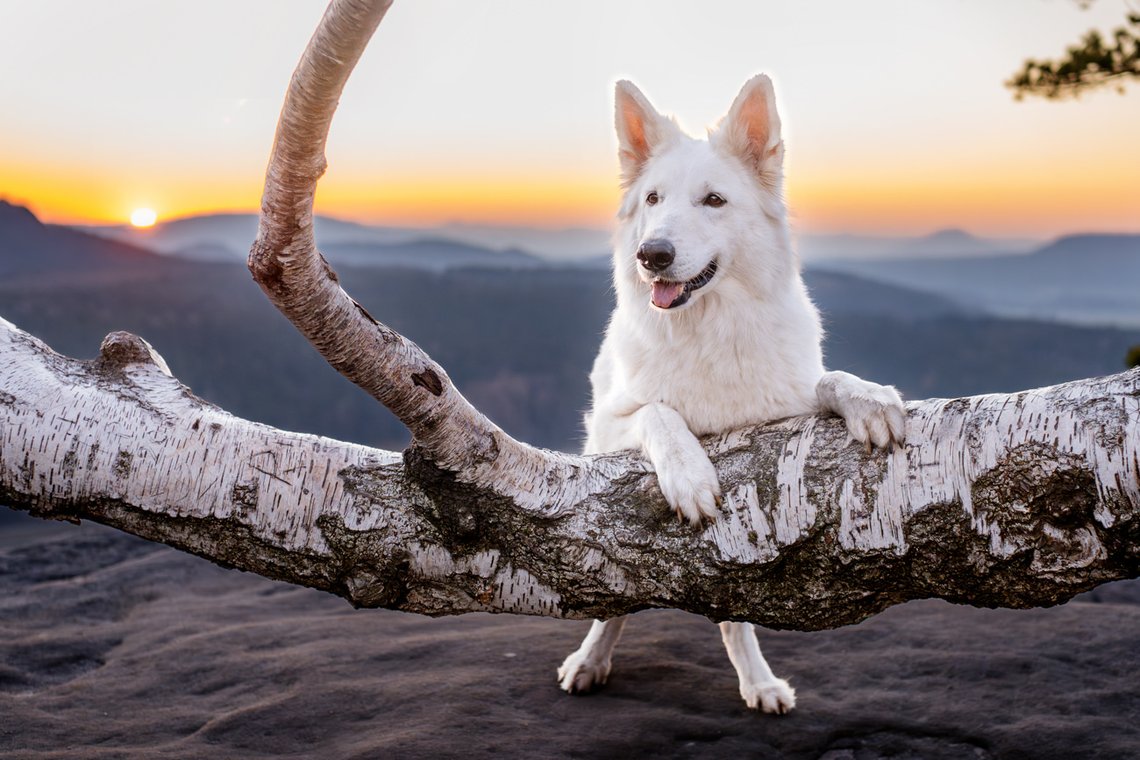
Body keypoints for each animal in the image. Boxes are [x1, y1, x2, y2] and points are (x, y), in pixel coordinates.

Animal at [556, 74, 902, 715]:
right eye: (653, 199)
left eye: (714, 201)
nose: (652, 255)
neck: (709, 330)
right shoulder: (615, 427)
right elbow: (659, 410)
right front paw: (689, 474)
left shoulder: (786, 406)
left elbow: (829, 379)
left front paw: (870, 398)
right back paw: (591, 659)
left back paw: (757, 681)